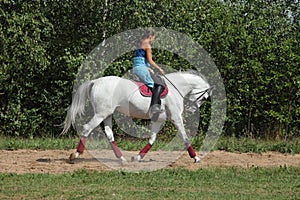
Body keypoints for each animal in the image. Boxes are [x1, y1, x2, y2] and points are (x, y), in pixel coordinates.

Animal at [61, 72, 211, 164]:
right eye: (204, 98)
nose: (192, 110)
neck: (176, 88)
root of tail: (95, 82)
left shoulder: (159, 119)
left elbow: (152, 139)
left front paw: (138, 157)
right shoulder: (176, 117)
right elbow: (185, 138)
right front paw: (196, 157)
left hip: (107, 114)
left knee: (109, 134)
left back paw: (122, 158)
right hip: (100, 114)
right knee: (87, 128)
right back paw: (75, 155)